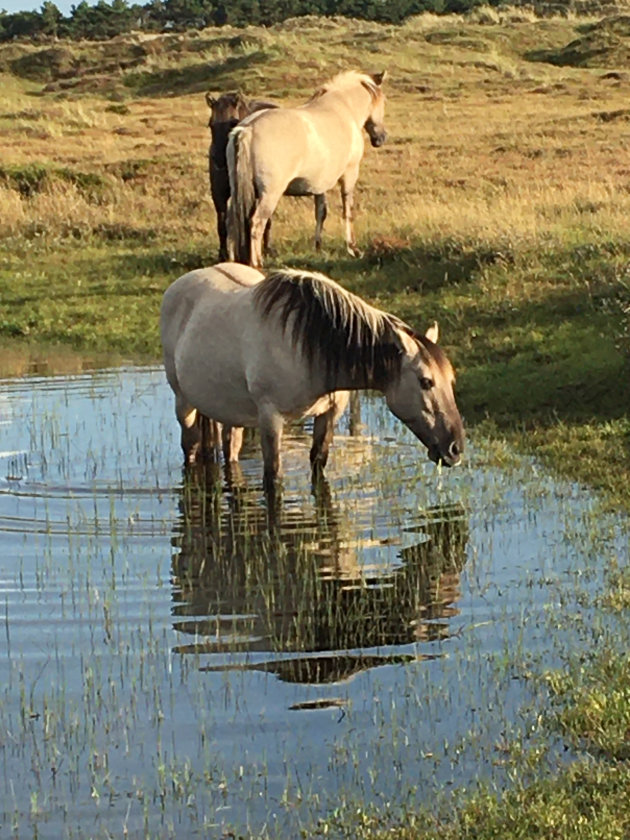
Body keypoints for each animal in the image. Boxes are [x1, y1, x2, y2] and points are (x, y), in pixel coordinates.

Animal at [160, 262, 466, 492]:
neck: (308, 346)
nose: (455, 449)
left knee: (230, 449)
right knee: (190, 448)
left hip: (232, 412)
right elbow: (273, 478)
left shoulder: (329, 413)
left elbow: (318, 465)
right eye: (426, 382)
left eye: (451, 381)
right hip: (183, 403)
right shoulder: (270, 418)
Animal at [206, 90, 278, 260]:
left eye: (233, 123)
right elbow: (221, 223)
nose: (218, 159)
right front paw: (223, 254)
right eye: (211, 125)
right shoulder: (218, 193)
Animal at [225, 72, 388, 270]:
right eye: (383, 101)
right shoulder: (350, 174)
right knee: (256, 222)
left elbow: (321, 212)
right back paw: (257, 264)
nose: (381, 138)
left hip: (238, 191)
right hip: (270, 194)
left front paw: (318, 246)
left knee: (231, 221)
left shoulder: (319, 185)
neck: (342, 109)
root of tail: (247, 130)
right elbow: (347, 210)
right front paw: (353, 249)